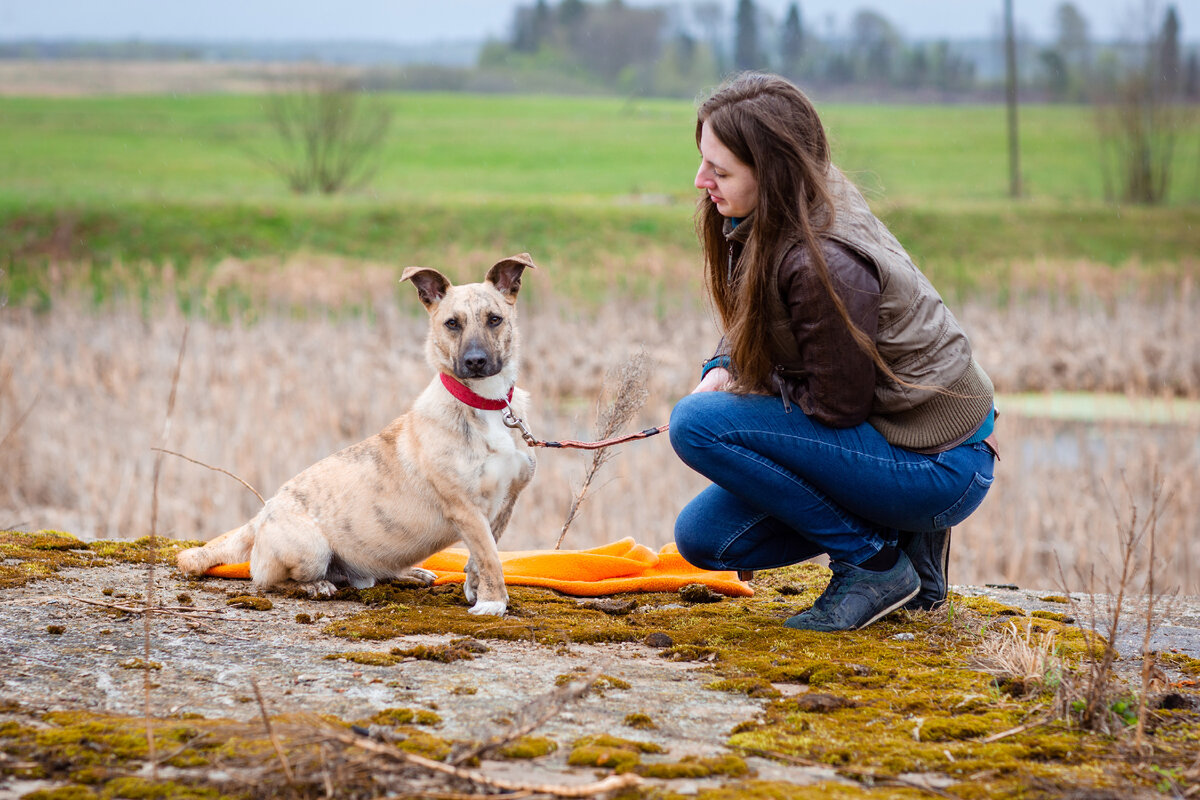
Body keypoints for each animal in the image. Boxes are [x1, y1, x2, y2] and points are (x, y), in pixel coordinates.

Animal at [175, 253, 537, 618]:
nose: (475, 362)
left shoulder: (504, 504)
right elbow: (490, 559)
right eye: (452, 323)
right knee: (266, 580)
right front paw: (493, 603)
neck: (485, 402)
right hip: (311, 548)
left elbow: (481, 559)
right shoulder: (465, 508)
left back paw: (409, 574)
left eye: (494, 319)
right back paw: (315, 586)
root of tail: (263, 514)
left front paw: (478, 594)